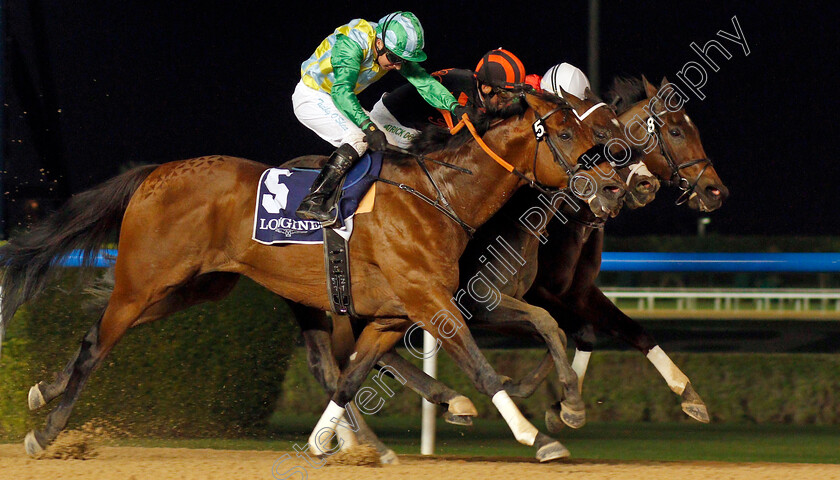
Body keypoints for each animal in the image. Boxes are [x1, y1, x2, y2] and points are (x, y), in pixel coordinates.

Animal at [0, 91, 624, 462]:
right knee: (96, 348)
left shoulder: (395, 313)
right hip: (142, 283)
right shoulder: (433, 303)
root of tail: (156, 173)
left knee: (94, 335)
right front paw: (535, 434)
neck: (439, 196)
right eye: (565, 135)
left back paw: (40, 391)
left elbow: (351, 377)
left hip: (189, 289)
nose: (613, 187)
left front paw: (327, 439)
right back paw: (46, 432)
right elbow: (480, 363)